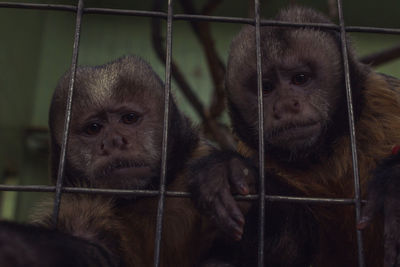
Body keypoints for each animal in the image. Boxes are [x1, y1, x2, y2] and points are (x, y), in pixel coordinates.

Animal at [0, 56, 216, 267]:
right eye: (94, 128)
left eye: (129, 118)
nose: (114, 141)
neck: (141, 200)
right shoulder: (76, 205)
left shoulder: (199, 155)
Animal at [189, 5, 400, 267]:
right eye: (266, 87)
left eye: (300, 79)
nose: (287, 105)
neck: (325, 152)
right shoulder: (253, 151)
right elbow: (291, 248)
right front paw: (234, 171)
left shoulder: (384, 99)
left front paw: (394, 181)